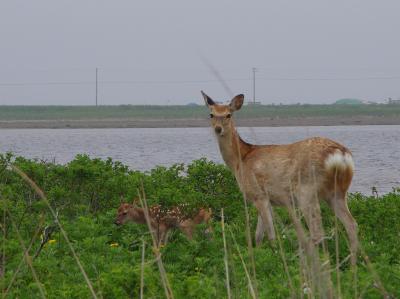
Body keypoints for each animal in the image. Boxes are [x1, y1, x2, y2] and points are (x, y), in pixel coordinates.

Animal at [200, 92, 360, 264]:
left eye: (228, 115)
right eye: (211, 114)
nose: (218, 129)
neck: (240, 159)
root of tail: (341, 155)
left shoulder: (258, 194)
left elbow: (269, 234)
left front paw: (274, 254)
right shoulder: (268, 199)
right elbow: (258, 235)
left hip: (306, 190)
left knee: (318, 231)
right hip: (337, 192)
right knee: (352, 225)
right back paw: (352, 265)